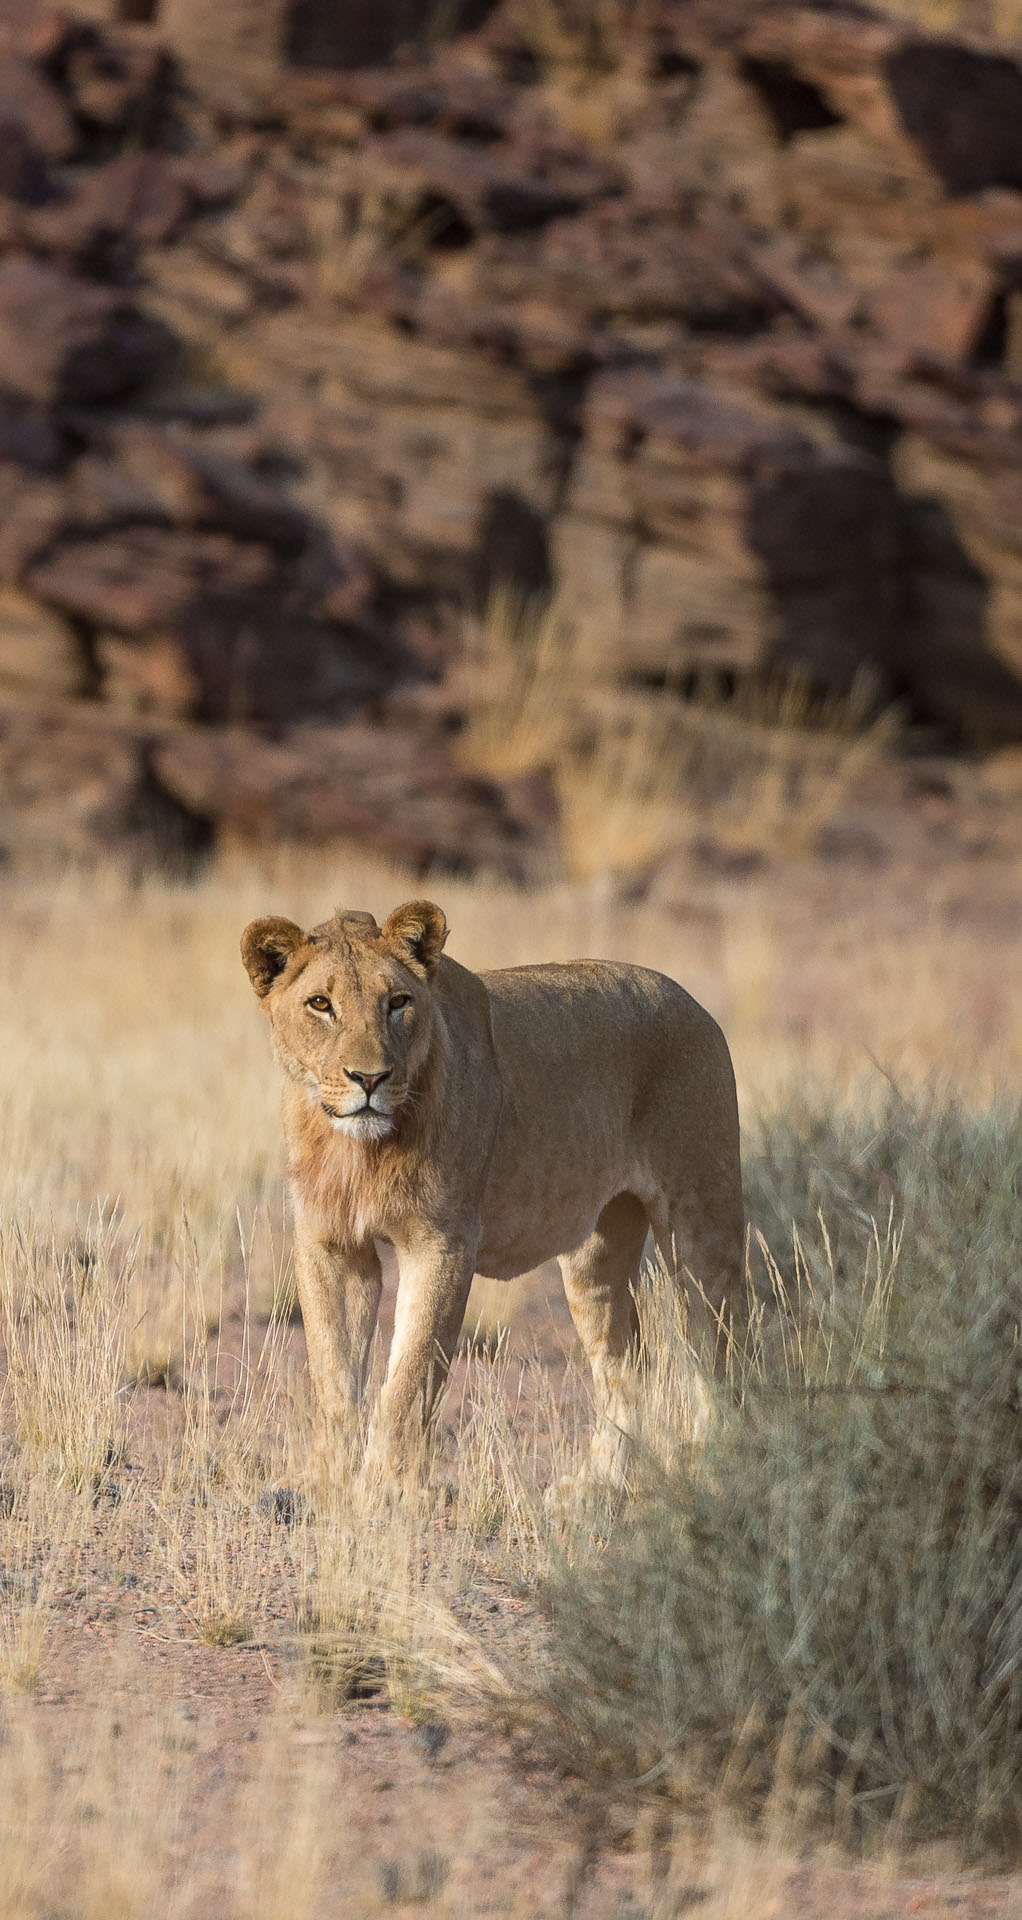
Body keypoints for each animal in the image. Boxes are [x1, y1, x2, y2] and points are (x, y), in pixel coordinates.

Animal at [241, 898, 744, 1479]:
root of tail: (694, 1003)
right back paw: (592, 1488)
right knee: (625, 1365)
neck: (359, 1151)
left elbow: (408, 1381)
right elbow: (334, 1378)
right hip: (596, 1254)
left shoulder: (442, 1242)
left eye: (398, 1002)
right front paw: (335, 1485)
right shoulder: (332, 1243)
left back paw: (717, 1472)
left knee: (722, 1355)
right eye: (320, 1004)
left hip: (702, 1229)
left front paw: (381, 1489)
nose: (369, 1079)